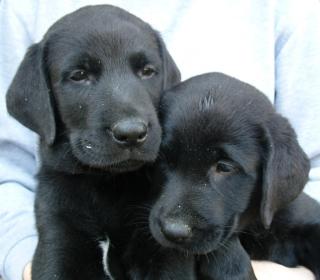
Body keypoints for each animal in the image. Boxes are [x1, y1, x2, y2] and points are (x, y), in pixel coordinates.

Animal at [5, 4, 188, 280]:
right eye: (79, 75)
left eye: (147, 71)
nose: (132, 133)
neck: (107, 185)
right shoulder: (58, 234)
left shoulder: (162, 248)